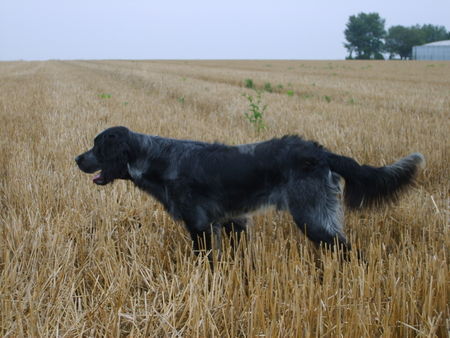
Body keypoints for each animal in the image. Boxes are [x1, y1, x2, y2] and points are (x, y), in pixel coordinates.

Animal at [75, 128, 424, 258]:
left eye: (98, 146)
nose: (77, 159)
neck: (159, 159)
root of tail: (320, 152)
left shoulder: (200, 226)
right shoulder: (232, 222)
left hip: (313, 218)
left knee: (350, 251)